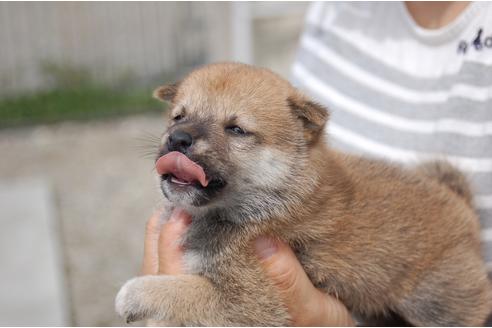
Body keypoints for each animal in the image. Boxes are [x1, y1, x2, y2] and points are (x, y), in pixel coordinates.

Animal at [116, 62, 492, 326]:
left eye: (236, 129)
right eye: (178, 117)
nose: (178, 138)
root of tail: (463, 209)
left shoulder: (254, 302)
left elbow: (183, 291)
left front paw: (135, 292)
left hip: (438, 300)